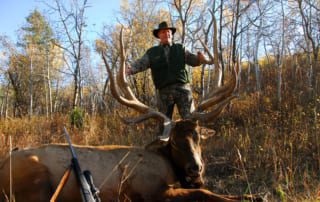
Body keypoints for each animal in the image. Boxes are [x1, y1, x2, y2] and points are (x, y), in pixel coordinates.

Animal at [0, 28, 262, 202]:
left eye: (197, 136)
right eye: (174, 142)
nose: (195, 168)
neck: (168, 164)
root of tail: (2, 164)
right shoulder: (150, 190)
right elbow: (204, 192)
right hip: (34, 184)